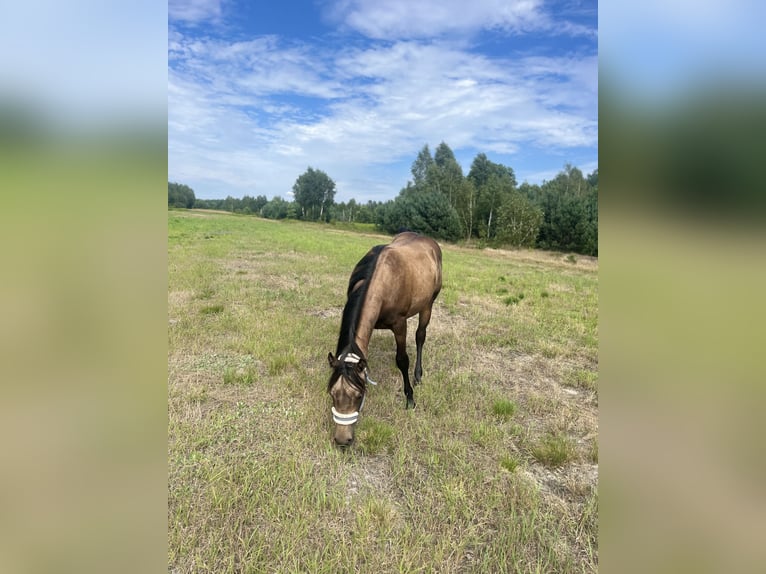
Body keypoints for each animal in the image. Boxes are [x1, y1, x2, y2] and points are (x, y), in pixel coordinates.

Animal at [327, 231, 442, 446]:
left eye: (359, 395)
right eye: (332, 393)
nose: (342, 440)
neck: (381, 279)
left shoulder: (400, 324)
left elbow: (402, 360)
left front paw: (410, 398)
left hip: (428, 305)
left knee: (420, 336)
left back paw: (418, 375)